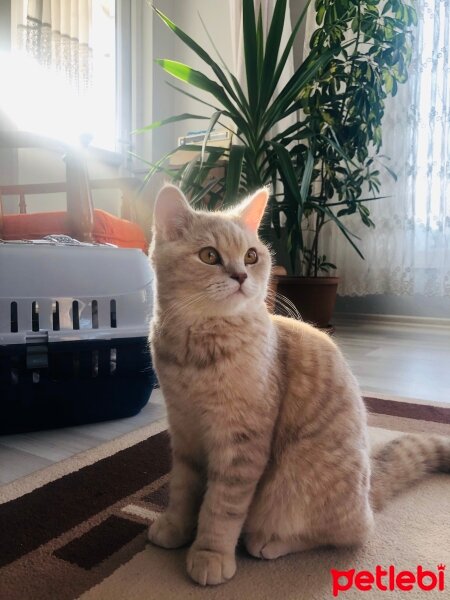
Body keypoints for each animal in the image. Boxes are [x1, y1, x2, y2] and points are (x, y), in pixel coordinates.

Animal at [148, 184, 450, 584]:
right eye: (209, 255)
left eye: (251, 255)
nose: (241, 276)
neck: (198, 349)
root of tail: (369, 489)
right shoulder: (183, 432)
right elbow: (183, 490)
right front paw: (176, 526)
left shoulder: (241, 447)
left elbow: (220, 508)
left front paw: (210, 552)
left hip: (295, 485)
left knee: (349, 533)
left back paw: (267, 542)